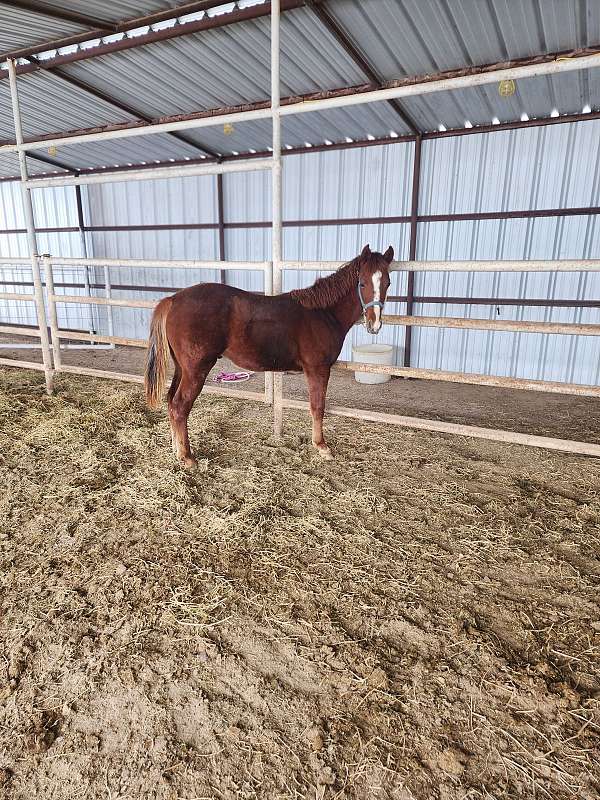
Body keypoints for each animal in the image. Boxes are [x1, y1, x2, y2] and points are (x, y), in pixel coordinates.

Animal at [144, 244, 394, 467]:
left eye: (388, 283)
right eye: (362, 282)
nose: (374, 325)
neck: (322, 314)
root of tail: (173, 300)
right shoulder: (318, 368)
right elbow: (317, 406)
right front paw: (321, 446)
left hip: (182, 368)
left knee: (171, 402)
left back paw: (177, 450)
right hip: (196, 369)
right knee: (180, 406)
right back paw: (188, 458)